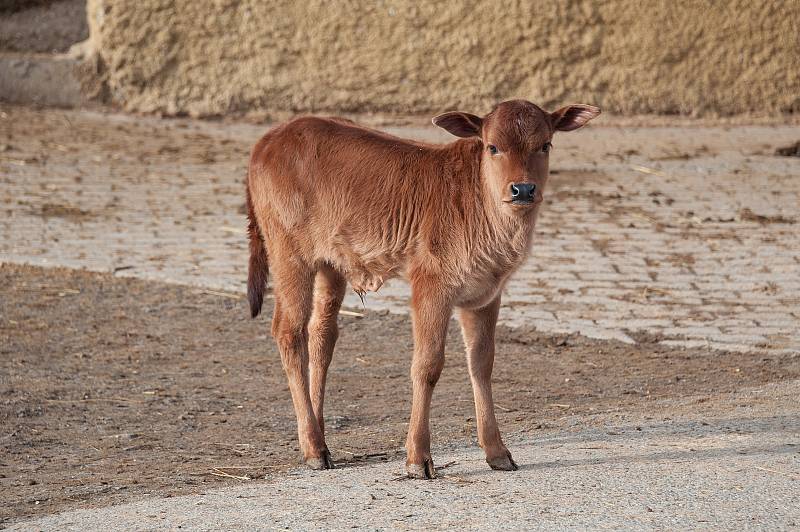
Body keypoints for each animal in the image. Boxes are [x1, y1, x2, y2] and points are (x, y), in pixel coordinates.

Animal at [247, 100, 596, 478]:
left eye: (545, 144)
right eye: (493, 147)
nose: (523, 189)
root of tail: (270, 138)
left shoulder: (486, 294)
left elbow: (482, 364)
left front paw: (497, 451)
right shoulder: (431, 286)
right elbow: (427, 365)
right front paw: (418, 457)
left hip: (331, 264)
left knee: (321, 335)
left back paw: (318, 436)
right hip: (289, 255)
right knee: (289, 332)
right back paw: (313, 447)